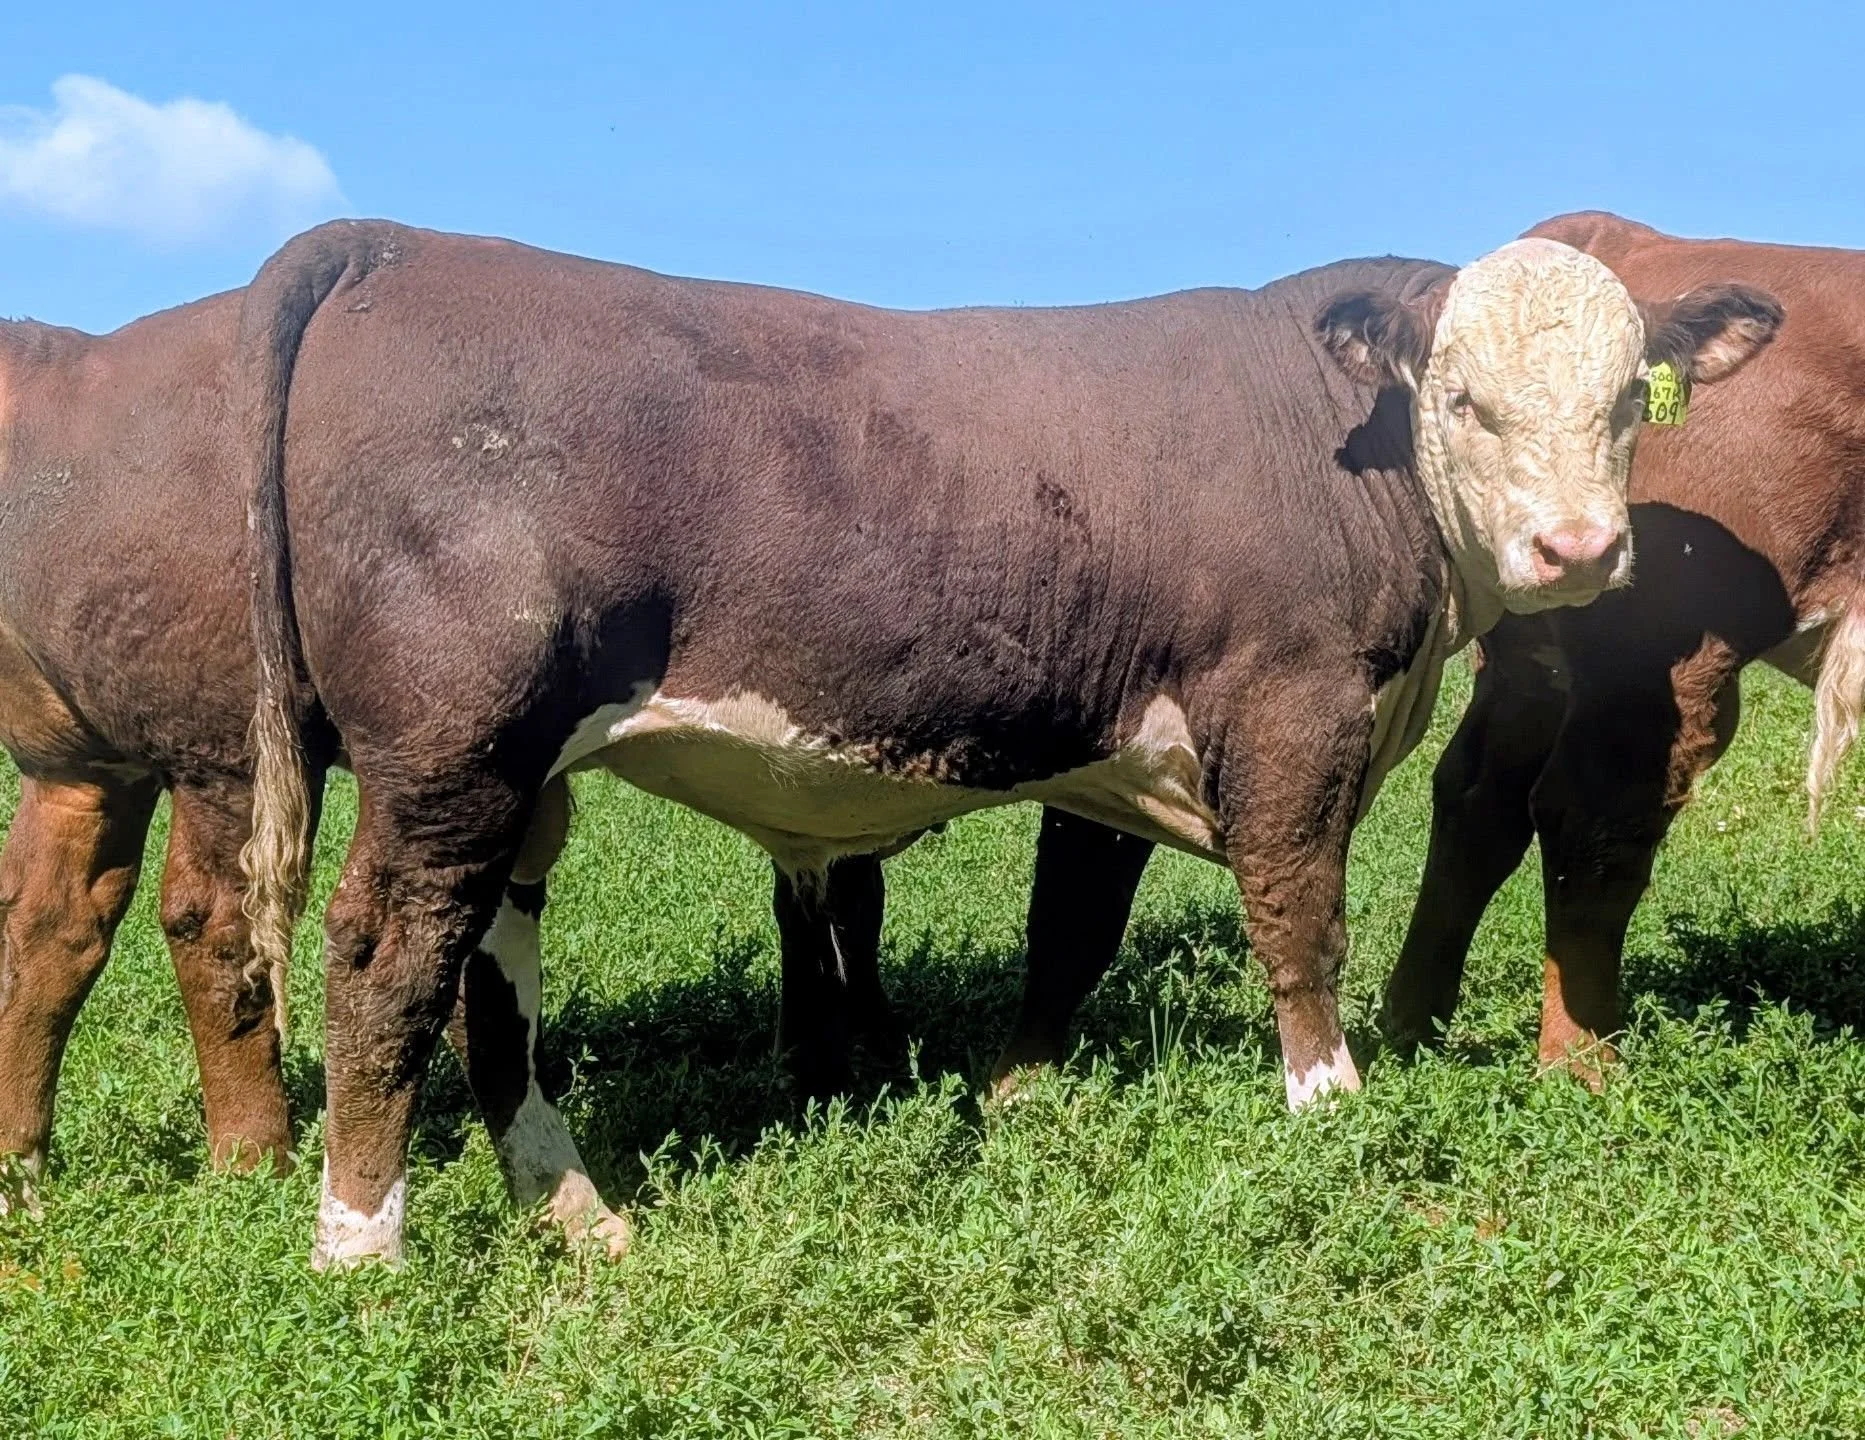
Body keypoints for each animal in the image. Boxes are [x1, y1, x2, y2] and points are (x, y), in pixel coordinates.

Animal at [0, 294, 627, 1250]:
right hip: (220, 741)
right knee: (216, 921)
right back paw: (255, 1158)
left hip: (82, 760)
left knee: (52, 924)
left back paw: (20, 1177)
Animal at [231, 219, 1778, 1266]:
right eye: (1463, 400)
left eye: (1630, 397)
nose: (1577, 549)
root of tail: (397, 245)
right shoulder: (1292, 712)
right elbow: (1299, 918)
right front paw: (1328, 1110)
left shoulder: (1110, 740)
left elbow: (1070, 927)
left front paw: (1018, 1094)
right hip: (454, 754)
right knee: (386, 960)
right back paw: (363, 1250)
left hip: (520, 784)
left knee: (492, 987)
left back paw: (576, 1216)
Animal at [1379, 212, 1865, 1075]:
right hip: (1652, 656)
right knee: (1592, 813)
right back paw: (1579, 1063)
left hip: (1532, 660)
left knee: (1477, 795)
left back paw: (1410, 1024)